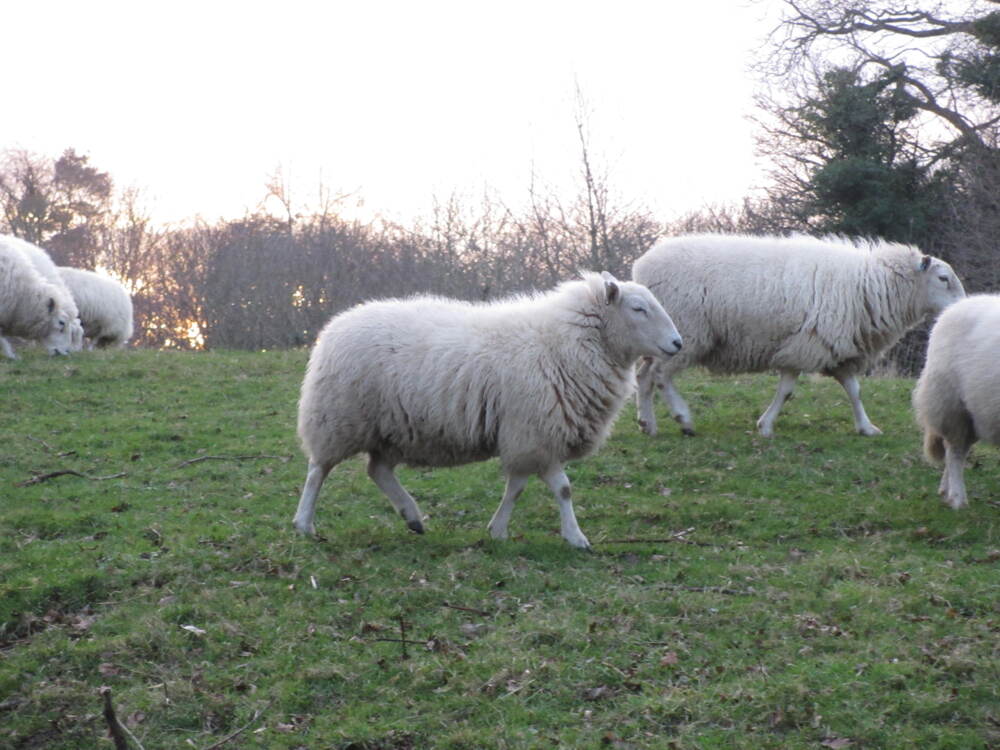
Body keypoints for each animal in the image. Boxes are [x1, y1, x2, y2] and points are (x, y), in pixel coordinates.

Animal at [293, 272, 683, 549]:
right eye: (638, 308)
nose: (678, 343)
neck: (565, 343)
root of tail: (336, 326)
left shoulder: (529, 437)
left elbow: (521, 488)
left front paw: (498, 530)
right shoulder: (535, 432)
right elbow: (561, 489)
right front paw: (576, 538)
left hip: (392, 430)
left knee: (378, 470)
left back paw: (412, 517)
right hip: (337, 419)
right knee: (318, 471)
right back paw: (304, 524)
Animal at [632, 234, 966, 438]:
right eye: (943, 278)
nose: (962, 308)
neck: (870, 285)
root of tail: (641, 267)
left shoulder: (836, 349)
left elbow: (854, 391)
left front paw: (866, 427)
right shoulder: (806, 344)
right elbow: (787, 391)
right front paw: (766, 426)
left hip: (661, 338)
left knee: (644, 375)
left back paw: (648, 424)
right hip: (686, 333)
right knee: (661, 376)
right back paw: (683, 419)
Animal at [913, 295, 1000, 509]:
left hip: (974, 416)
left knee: (955, 451)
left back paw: (945, 491)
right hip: (952, 407)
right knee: (955, 453)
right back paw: (958, 498)